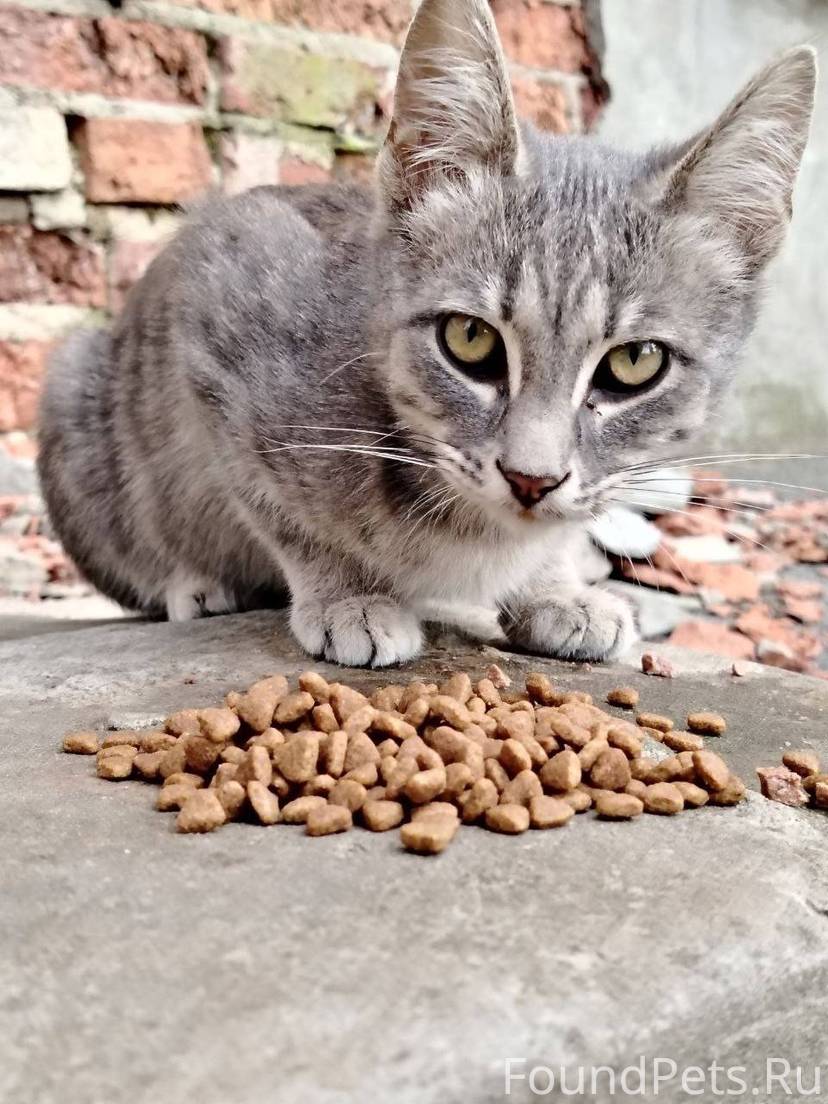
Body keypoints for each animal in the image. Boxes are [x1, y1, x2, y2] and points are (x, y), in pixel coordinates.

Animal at [37, 0, 816, 667]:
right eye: (469, 340)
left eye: (635, 362)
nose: (531, 479)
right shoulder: (216, 292)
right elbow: (282, 512)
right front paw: (349, 593)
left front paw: (555, 587)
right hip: (76, 388)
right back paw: (196, 584)